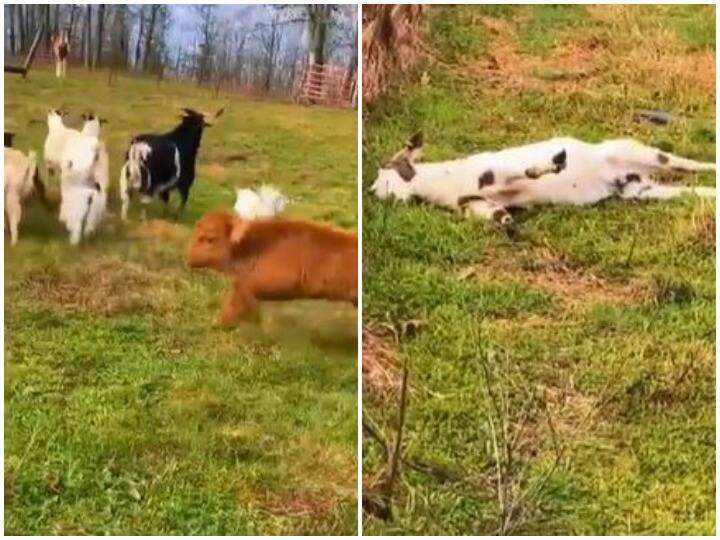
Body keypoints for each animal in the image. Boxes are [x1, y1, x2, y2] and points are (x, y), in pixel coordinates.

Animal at [371, 132, 716, 228]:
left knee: (692, 165)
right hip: (643, 191)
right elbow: (494, 213)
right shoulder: (477, 202)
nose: (371, 191)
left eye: (384, 170)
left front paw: (553, 163)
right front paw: (507, 221)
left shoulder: (498, 172)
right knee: (694, 190)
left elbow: (528, 172)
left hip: (645, 154)